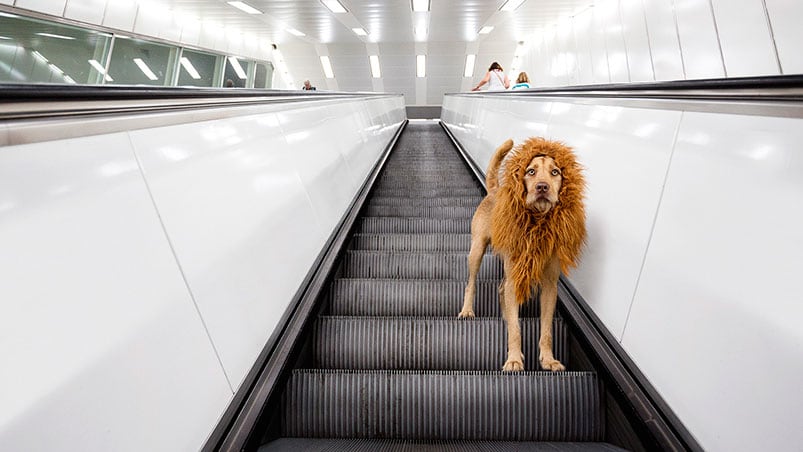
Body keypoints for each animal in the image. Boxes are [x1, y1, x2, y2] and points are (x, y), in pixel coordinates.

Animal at [462, 137, 588, 370]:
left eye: (555, 172)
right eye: (530, 171)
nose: (542, 187)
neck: (538, 223)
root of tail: (495, 190)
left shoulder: (549, 286)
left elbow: (546, 330)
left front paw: (548, 359)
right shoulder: (515, 279)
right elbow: (515, 330)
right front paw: (513, 359)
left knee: (501, 289)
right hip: (477, 250)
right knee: (471, 283)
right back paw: (467, 310)